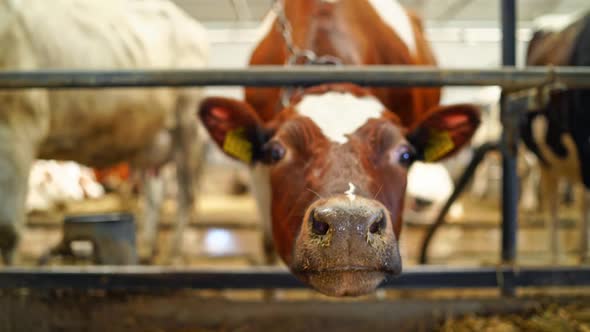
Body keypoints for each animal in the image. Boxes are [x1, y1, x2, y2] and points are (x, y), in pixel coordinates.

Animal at [0, 0, 210, 264]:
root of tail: (190, 24)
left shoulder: (19, 127)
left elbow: (8, 229)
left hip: (187, 126)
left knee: (186, 196)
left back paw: (172, 256)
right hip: (149, 139)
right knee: (154, 195)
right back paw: (146, 248)